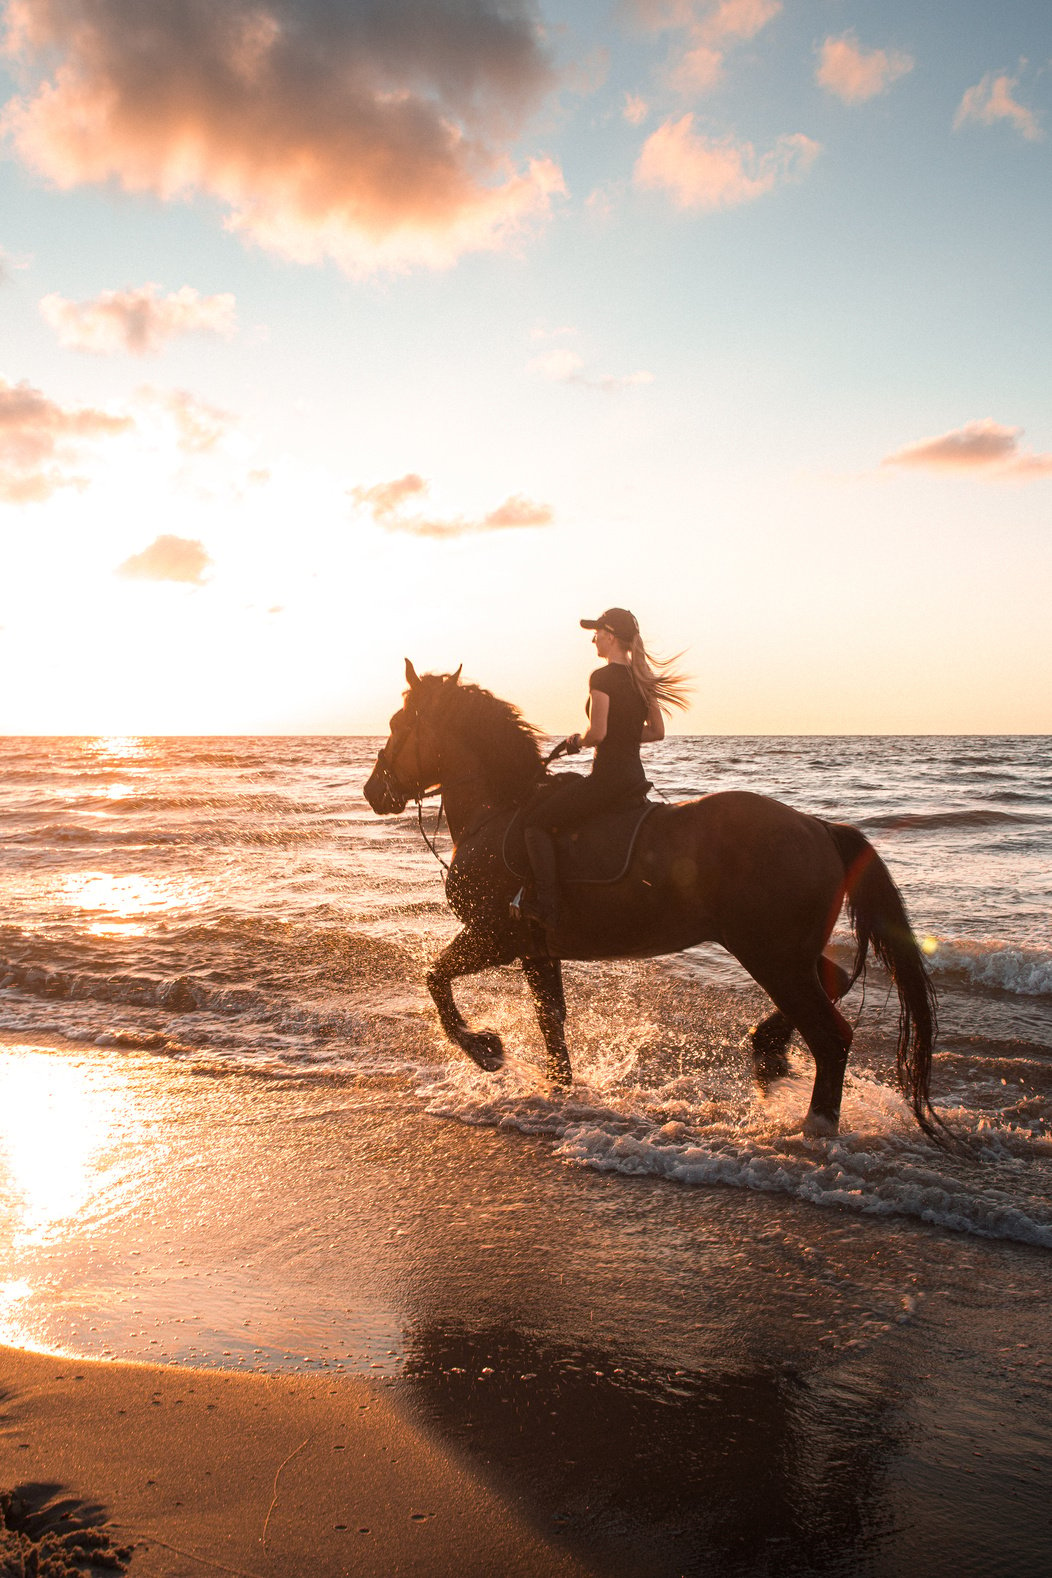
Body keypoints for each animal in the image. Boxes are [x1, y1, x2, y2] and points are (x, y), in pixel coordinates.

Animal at [364, 659, 946, 1142]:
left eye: (397, 724)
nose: (374, 792)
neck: (497, 811)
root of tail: (819, 827)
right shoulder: (536, 949)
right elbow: (551, 1022)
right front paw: (558, 1091)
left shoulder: (494, 937)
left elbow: (436, 981)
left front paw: (486, 1050)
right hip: (790, 953)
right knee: (836, 980)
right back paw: (768, 1054)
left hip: (771, 955)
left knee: (830, 1036)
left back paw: (815, 1125)